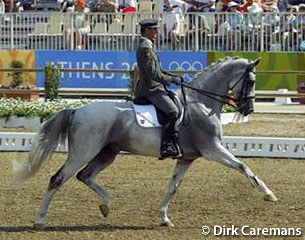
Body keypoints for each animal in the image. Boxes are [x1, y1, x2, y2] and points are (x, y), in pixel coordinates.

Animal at [13, 56, 276, 229]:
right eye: (251, 81)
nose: (249, 109)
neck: (201, 102)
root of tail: (77, 110)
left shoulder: (187, 158)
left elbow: (173, 187)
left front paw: (164, 218)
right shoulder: (213, 149)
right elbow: (244, 167)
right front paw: (268, 195)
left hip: (107, 153)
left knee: (84, 176)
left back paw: (107, 206)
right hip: (84, 151)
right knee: (58, 178)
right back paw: (40, 220)